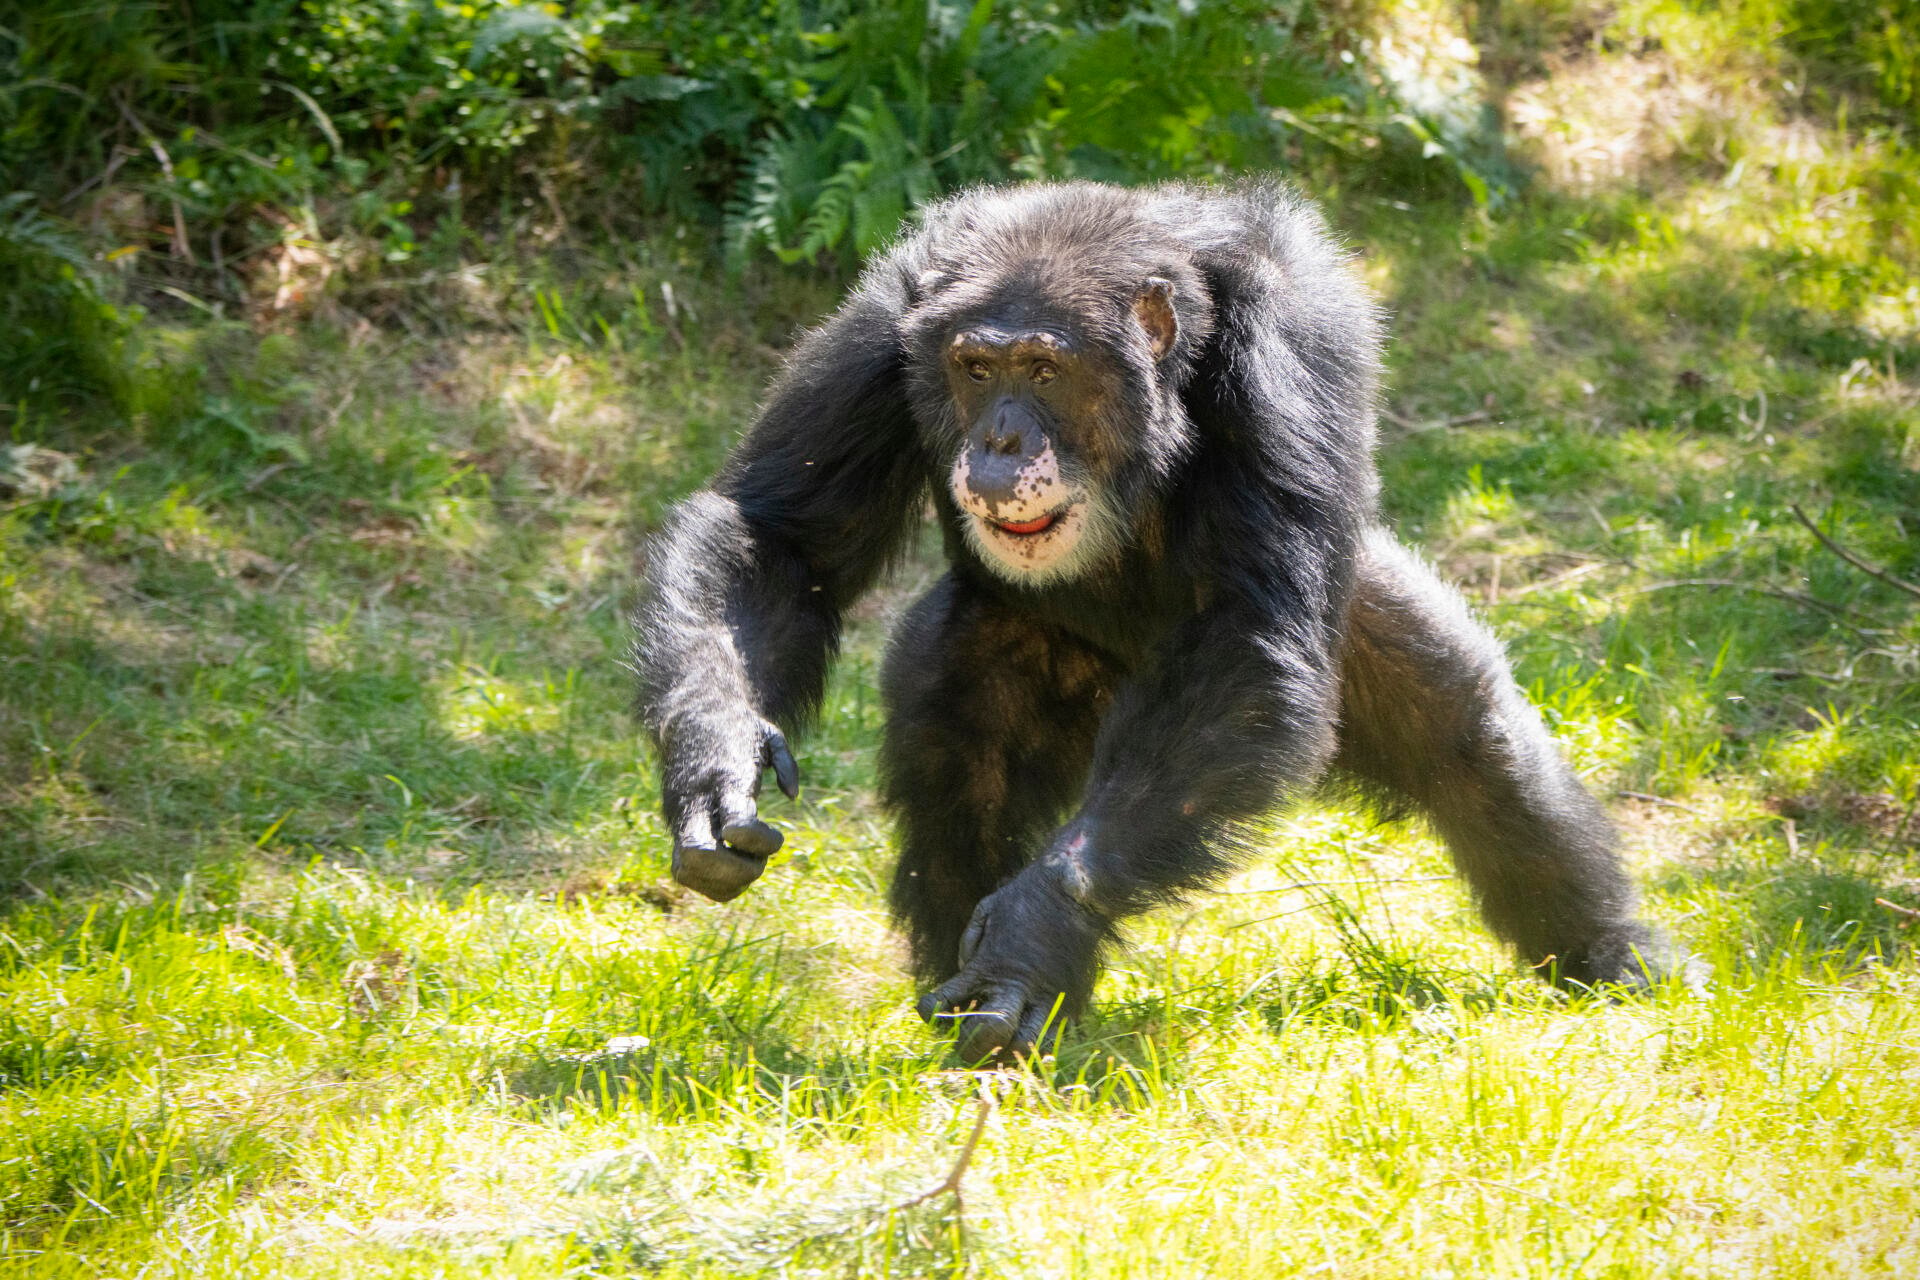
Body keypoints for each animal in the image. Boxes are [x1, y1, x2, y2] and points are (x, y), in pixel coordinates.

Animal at [633, 180, 1681, 1059]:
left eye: (1043, 371)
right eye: (972, 367)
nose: (999, 436)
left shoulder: (1293, 348)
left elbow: (1246, 637)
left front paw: (1036, 930)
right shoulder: (878, 329)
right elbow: (782, 537)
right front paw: (715, 761)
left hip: (1354, 633)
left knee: (1469, 738)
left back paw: (1612, 955)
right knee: (959, 756)